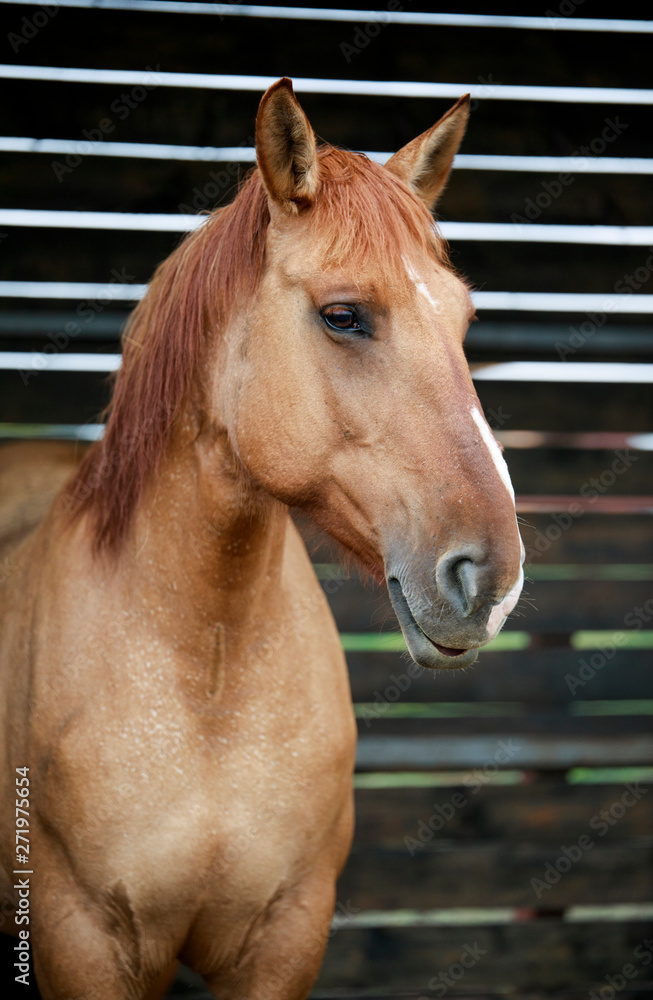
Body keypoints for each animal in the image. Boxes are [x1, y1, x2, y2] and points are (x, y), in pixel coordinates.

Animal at [0, 78, 523, 999]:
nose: (489, 578)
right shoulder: (79, 938)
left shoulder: (286, 936)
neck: (210, 681)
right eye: (343, 315)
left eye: (462, 321)